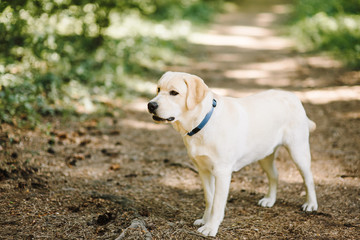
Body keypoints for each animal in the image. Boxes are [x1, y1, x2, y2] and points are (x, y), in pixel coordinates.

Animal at [146, 71, 318, 236]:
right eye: (158, 89)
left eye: (174, 93)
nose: (150, 105)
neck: (202, 122)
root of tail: (293, 96)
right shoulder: (203, 170)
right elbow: (209, 198)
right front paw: (205, 220)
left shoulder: (222, 172)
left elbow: (217, 203)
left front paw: (211, 227)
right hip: (264, 154)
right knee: (275, 175)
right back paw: (270, 199)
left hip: (298, 151)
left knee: (308, 179)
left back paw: (311, 204)